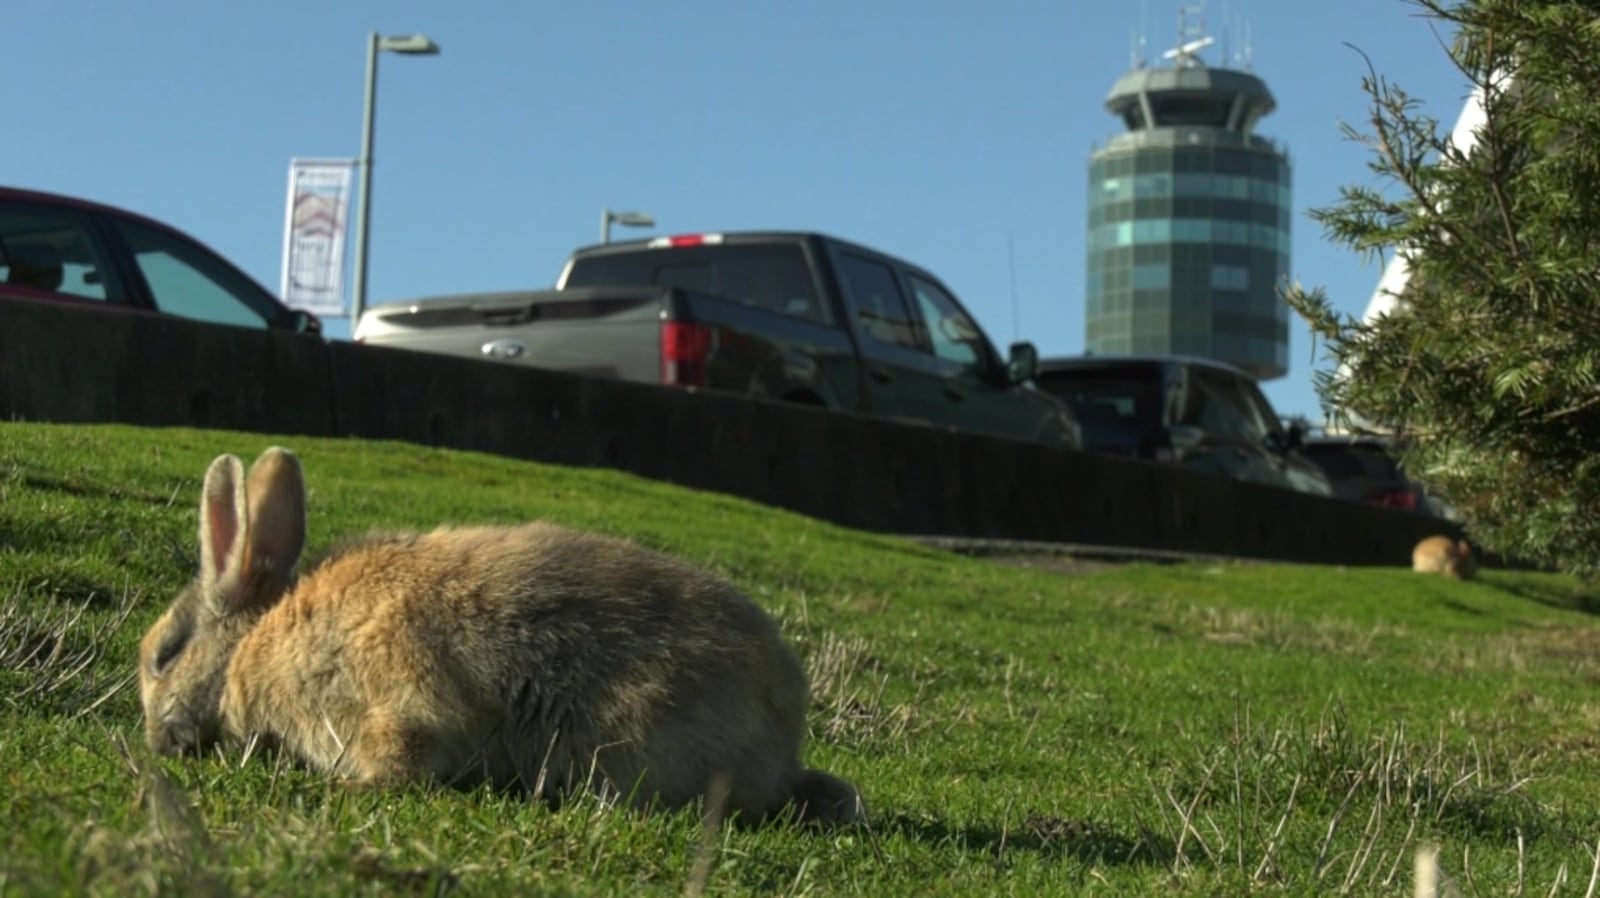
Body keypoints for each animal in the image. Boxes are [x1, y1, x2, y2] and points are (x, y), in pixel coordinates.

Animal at [138, 447, 862, 825]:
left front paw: (347, 790)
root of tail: (783, 736)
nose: (156, 741)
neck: (251, 645)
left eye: (164, 655)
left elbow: (402, 753)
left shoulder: (387, 702)